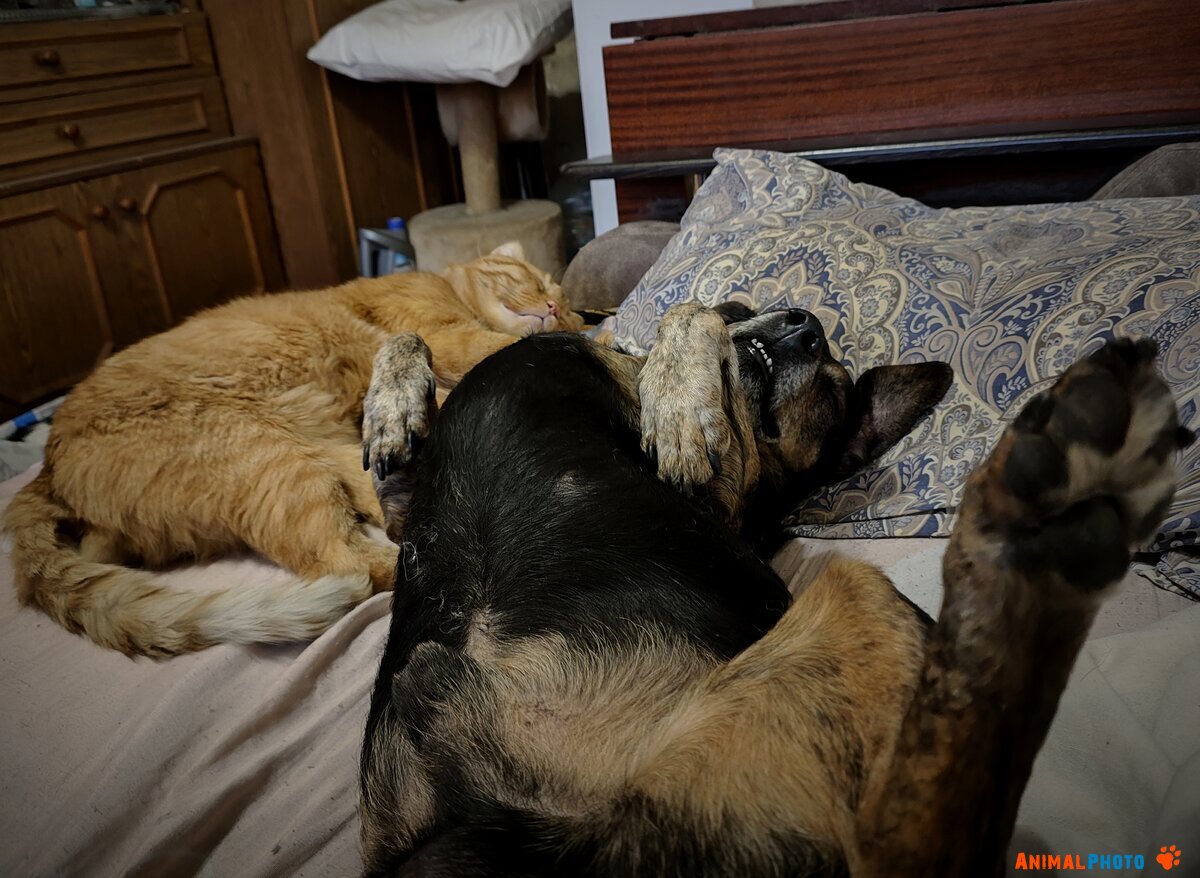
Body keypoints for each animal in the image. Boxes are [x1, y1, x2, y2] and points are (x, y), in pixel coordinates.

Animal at [3, 242, 583, 657]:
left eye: (566, 306)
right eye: (535, 281)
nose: (557, 306)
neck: (449, 287)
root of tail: (46, 468)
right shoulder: (447, 333)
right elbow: (496, 346)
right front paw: (593, 339)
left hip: (320, 455)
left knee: (378, 518)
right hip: (271, 457)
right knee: (351, 562)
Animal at [356, 302, 1190, 876]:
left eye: (832, 391)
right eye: (751, 305)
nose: (805, 321)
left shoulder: (713, 492)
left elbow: (682, 317)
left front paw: (676, 401)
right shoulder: (399, 513)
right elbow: (403, 335)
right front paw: (389, 409)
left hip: (853, 593)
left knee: (922, 847)